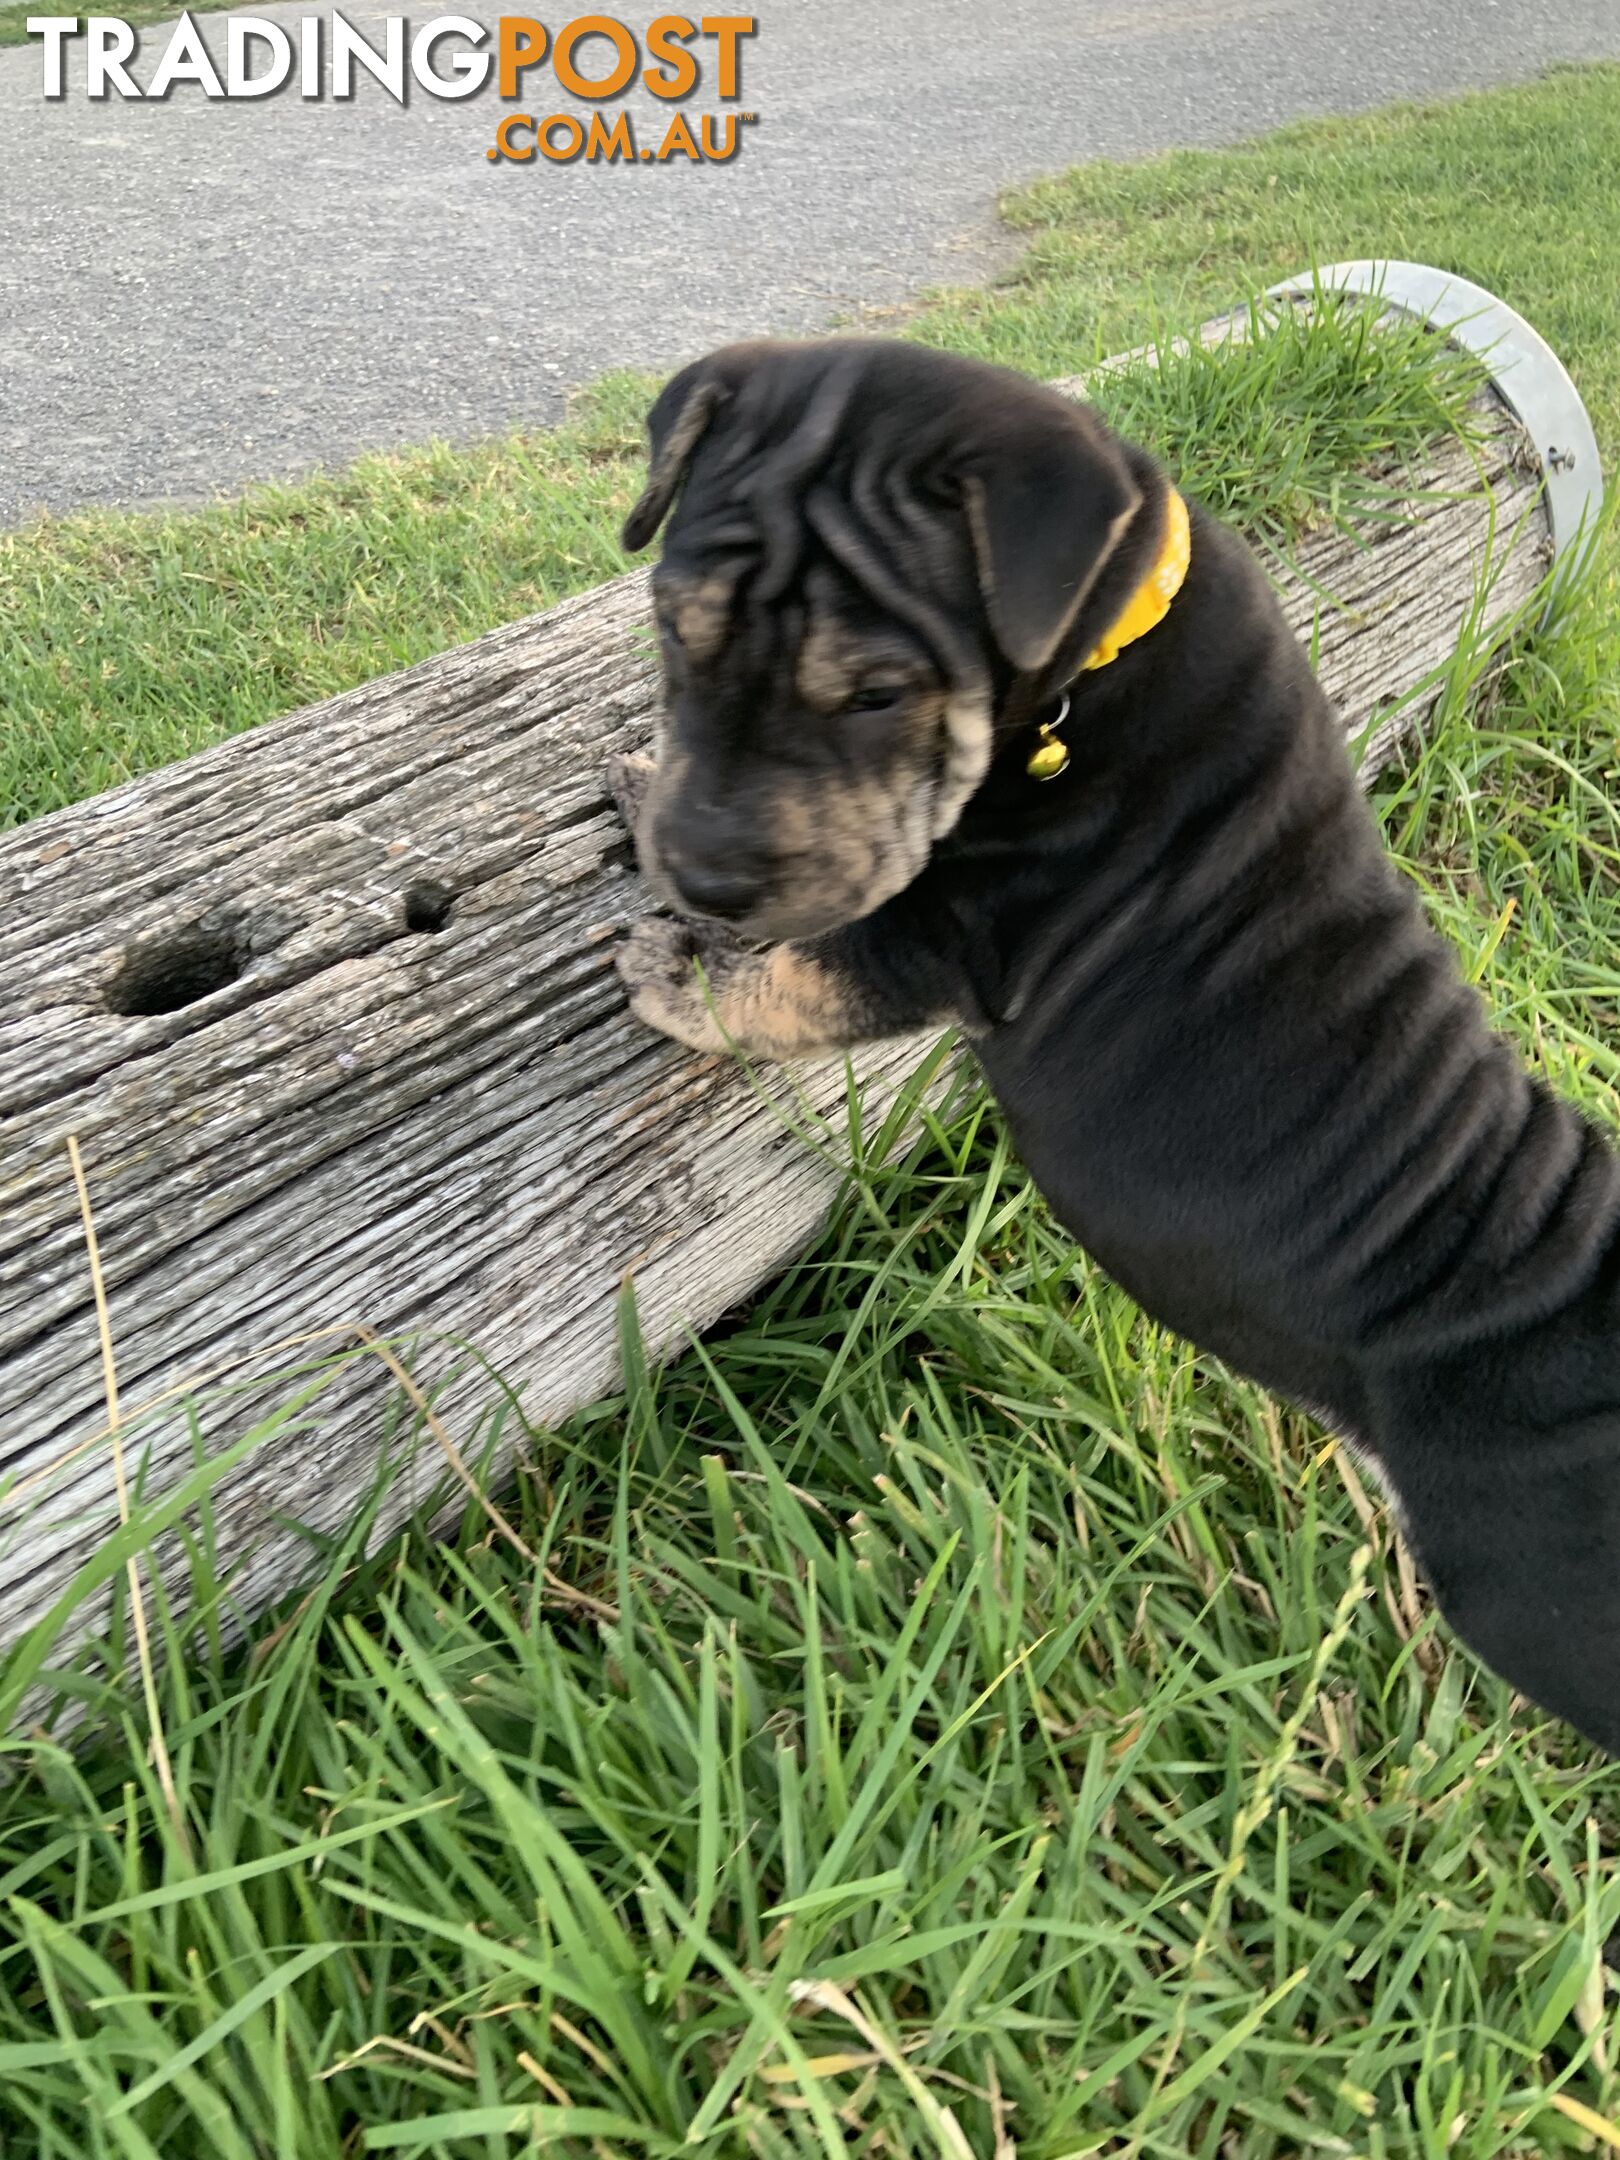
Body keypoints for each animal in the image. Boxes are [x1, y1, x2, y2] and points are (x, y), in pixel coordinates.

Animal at [609, 332, 1620, 1753]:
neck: (1106, 637)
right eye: (669, 628)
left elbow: (786, 984)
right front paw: (648, 782)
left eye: (876, 694)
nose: (704, 875)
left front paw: (674, 969)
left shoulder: (936, 933)